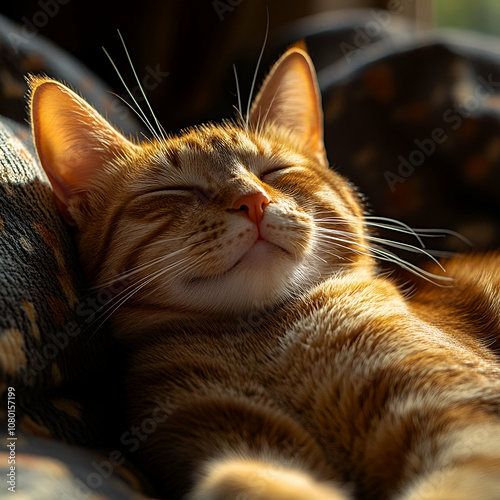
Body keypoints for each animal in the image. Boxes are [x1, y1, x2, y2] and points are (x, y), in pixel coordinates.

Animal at [28, 47, 500, 500]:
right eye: (174, 190)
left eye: (275, 171)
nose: (252, 200)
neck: (266, 341)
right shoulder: (216, 429)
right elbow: (243, 478)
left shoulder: (466, 417)